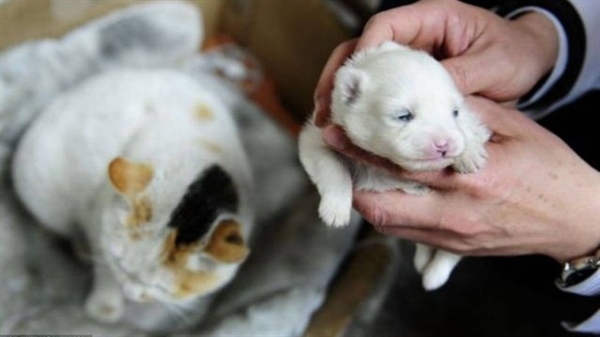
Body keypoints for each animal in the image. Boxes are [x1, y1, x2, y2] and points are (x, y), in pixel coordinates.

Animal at [11, 67, 254, 322]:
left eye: (159, 287)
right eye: (121, 265)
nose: (130, 293)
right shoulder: (95, 217)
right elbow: (103, 265)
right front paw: (105, 305)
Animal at [300, 41, 492, 288]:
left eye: (454, 112)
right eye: (404, 116)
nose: (444, 145)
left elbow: (470, 125)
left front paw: (469, 153)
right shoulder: (318, 135)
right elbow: (331, 166)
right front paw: (336, 209)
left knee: (451, 251)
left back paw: (434, 274)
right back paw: (424, 263)